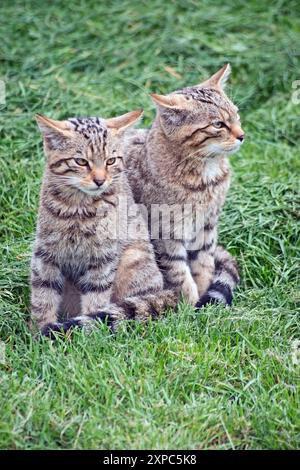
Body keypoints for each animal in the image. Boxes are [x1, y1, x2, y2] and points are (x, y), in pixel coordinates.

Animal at [30, 110, 176, 338]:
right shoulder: (45, 253)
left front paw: (92, 335)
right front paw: (38, 334)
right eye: (81, 161)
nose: (100, 180)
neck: (78, 209)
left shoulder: (103, 257)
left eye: (111, 161)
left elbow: (96, 299)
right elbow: (42, 296)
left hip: (133, 260)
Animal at [125, 65, 243, 308]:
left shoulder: (207, 226)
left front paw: (204, 299)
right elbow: (178, 272)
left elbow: (204, 264)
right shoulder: (164, 232)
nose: (242, 135)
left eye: (236, 115)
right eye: (218, 124)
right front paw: (189, 307)